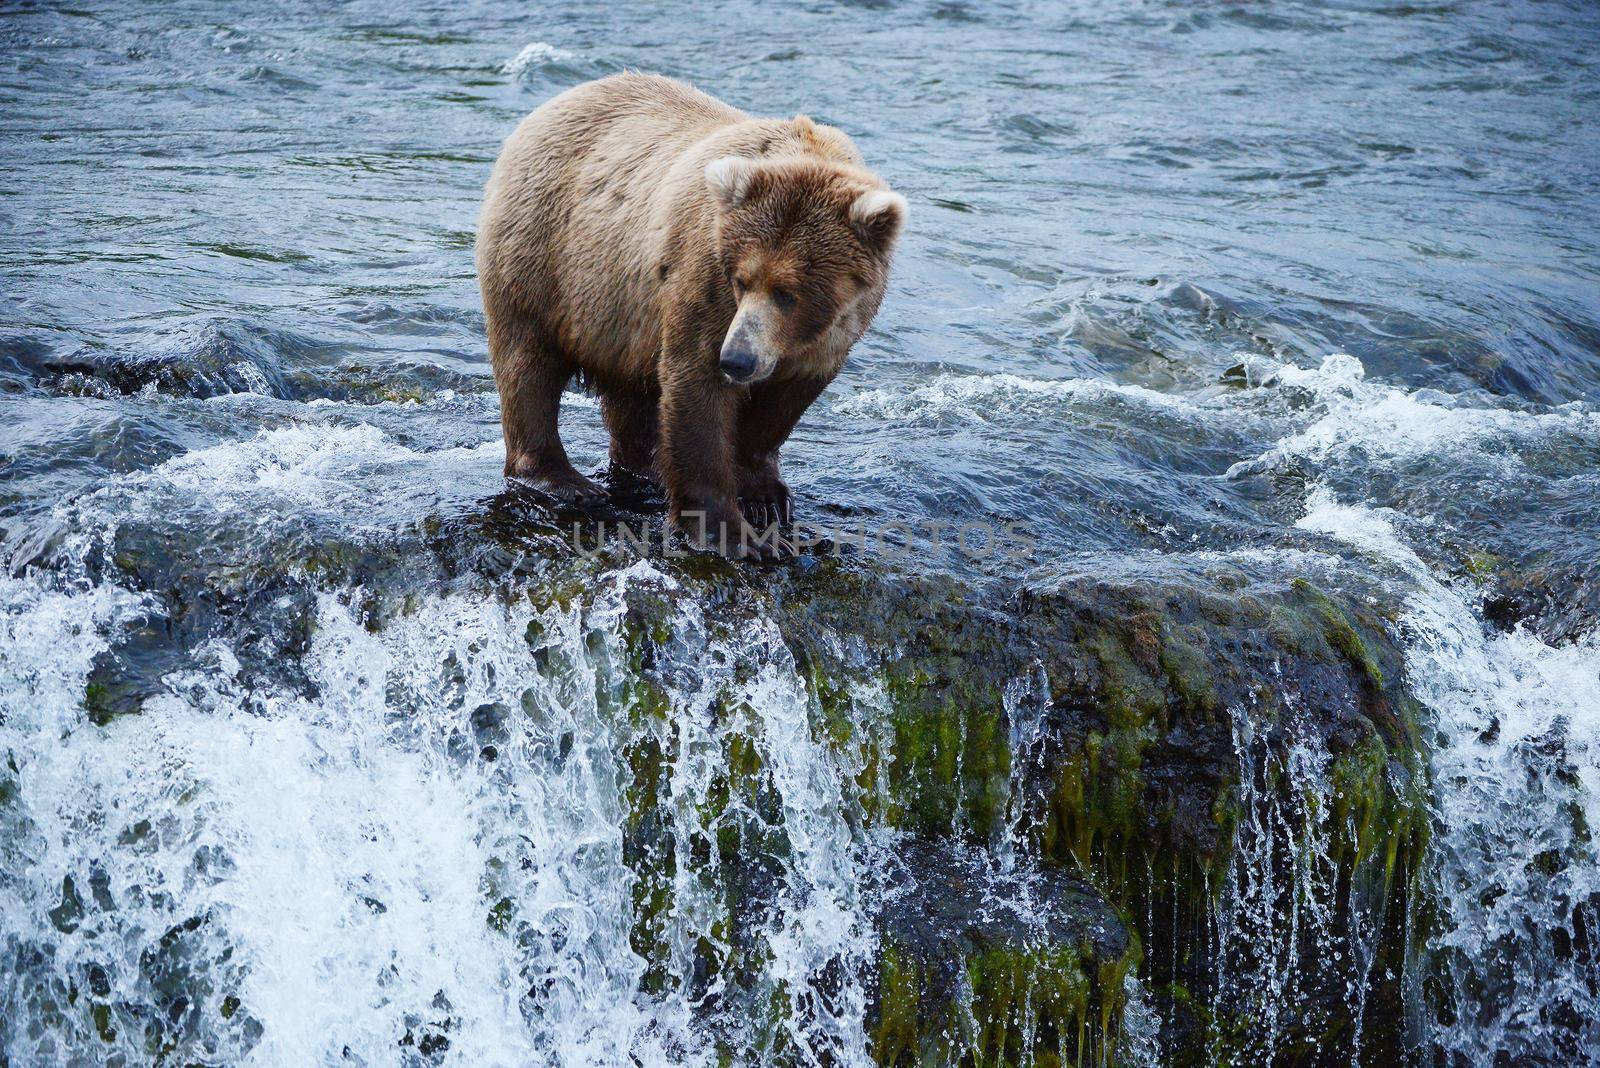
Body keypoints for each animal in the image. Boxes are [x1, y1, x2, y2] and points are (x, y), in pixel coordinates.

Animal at [470, 73, 902, 559]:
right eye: (741, 279)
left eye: (788, 293)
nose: (738, 359)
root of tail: (549, 106)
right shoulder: (702, 276)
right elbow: (696, 383)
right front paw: (731, 534)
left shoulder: (832, 333)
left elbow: (781, 404)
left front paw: (765, 497)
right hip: (545, 255)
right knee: (529, 364)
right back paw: (562, 480)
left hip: (622, 311)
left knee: (631, 394)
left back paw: (643, 467)